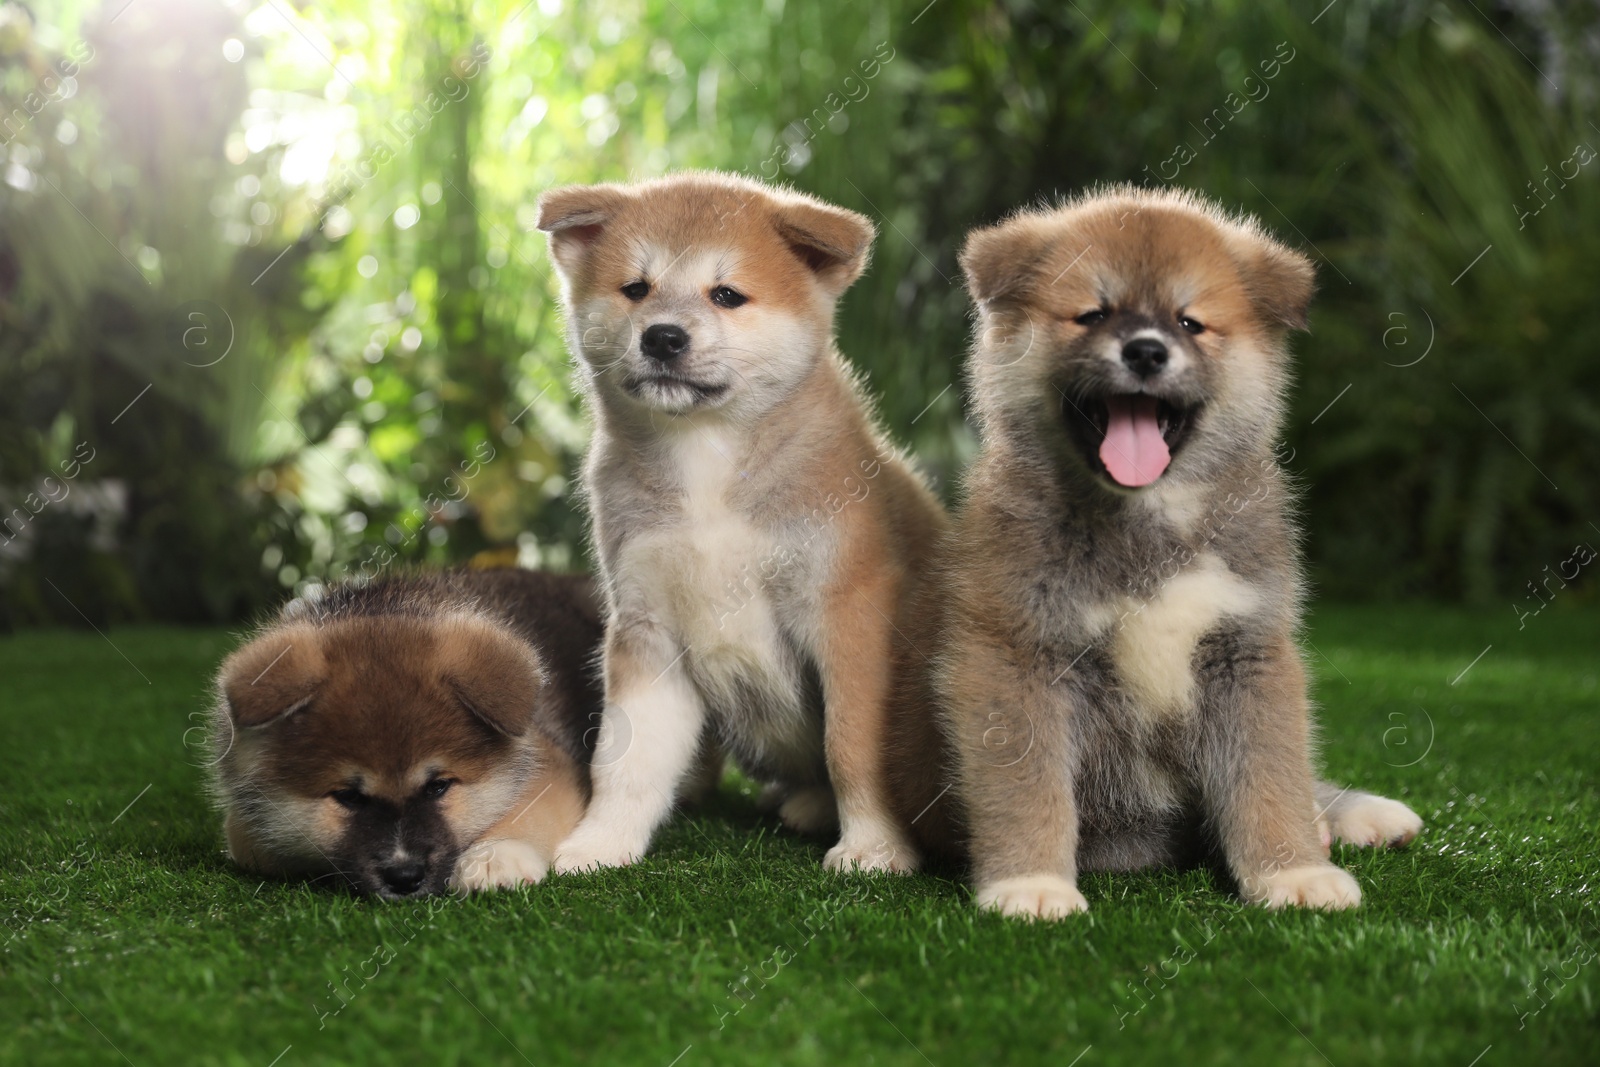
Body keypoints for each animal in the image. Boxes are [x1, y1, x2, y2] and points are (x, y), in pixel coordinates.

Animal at [211, 572, 604, 895]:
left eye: (438, 787)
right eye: (348, 797)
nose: (404, 877)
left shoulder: (550, 762)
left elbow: (531, 813)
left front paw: (495, 856)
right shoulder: (245, 823)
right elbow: (251, 842)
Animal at [531, 175, 940, 870]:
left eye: (726, 295)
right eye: (636, 288)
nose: (662, 337)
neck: (707, 461)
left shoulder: (848, 616)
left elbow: (852, 745)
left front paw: (874, 846)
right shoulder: (648, 629)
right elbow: (627, 760)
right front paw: (602, 841)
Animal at [889, 185, 1427, 921]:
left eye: (1190, 322)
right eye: (1092, 314)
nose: (1145, 352)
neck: (1147, 525)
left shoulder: (1247, 649)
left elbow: (1272, 776)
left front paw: (1293, 869)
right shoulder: (1014, 656)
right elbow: (1028, 788)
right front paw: (1030, 882)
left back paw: (1349, 815)